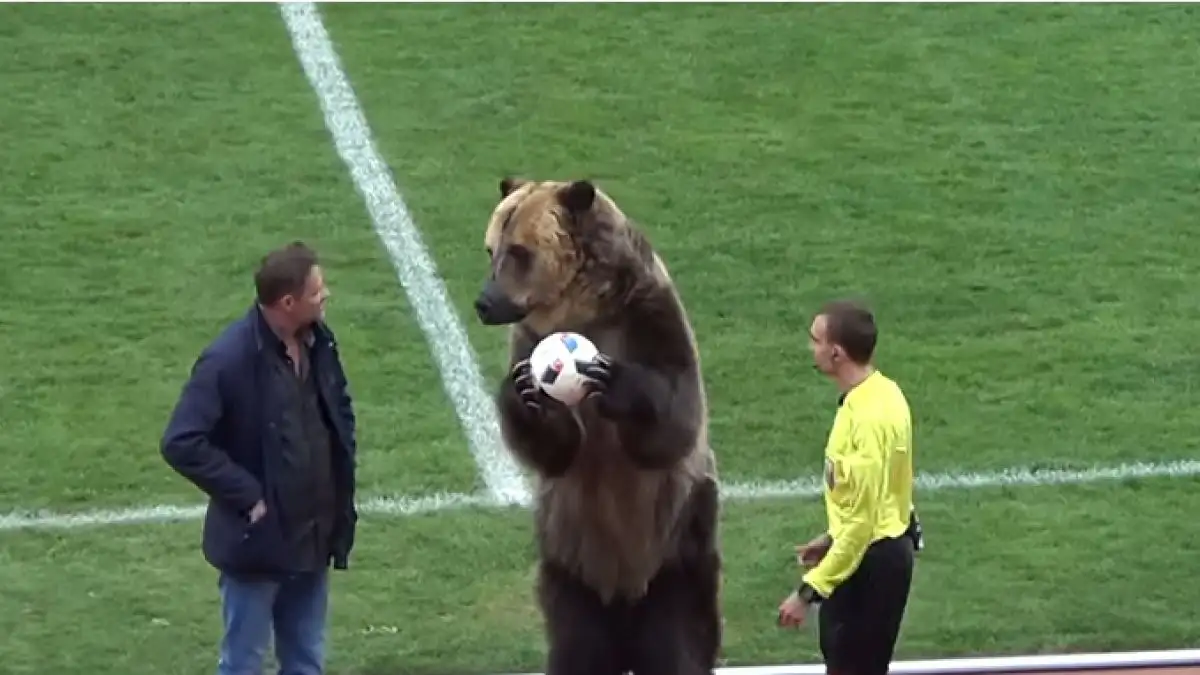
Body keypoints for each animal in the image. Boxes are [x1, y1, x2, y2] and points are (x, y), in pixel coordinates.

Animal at [473, 177, 723, 675]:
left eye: (519, 252)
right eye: (490, 248)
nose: (484, 303)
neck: (584, 312)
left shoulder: (650, 317)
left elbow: (675, 418)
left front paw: (618, 384)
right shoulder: (525, 340)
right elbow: (556, 449)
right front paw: (526, 395)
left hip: (677, 553)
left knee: (680, 640)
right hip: (569, 564)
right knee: (576, 645)